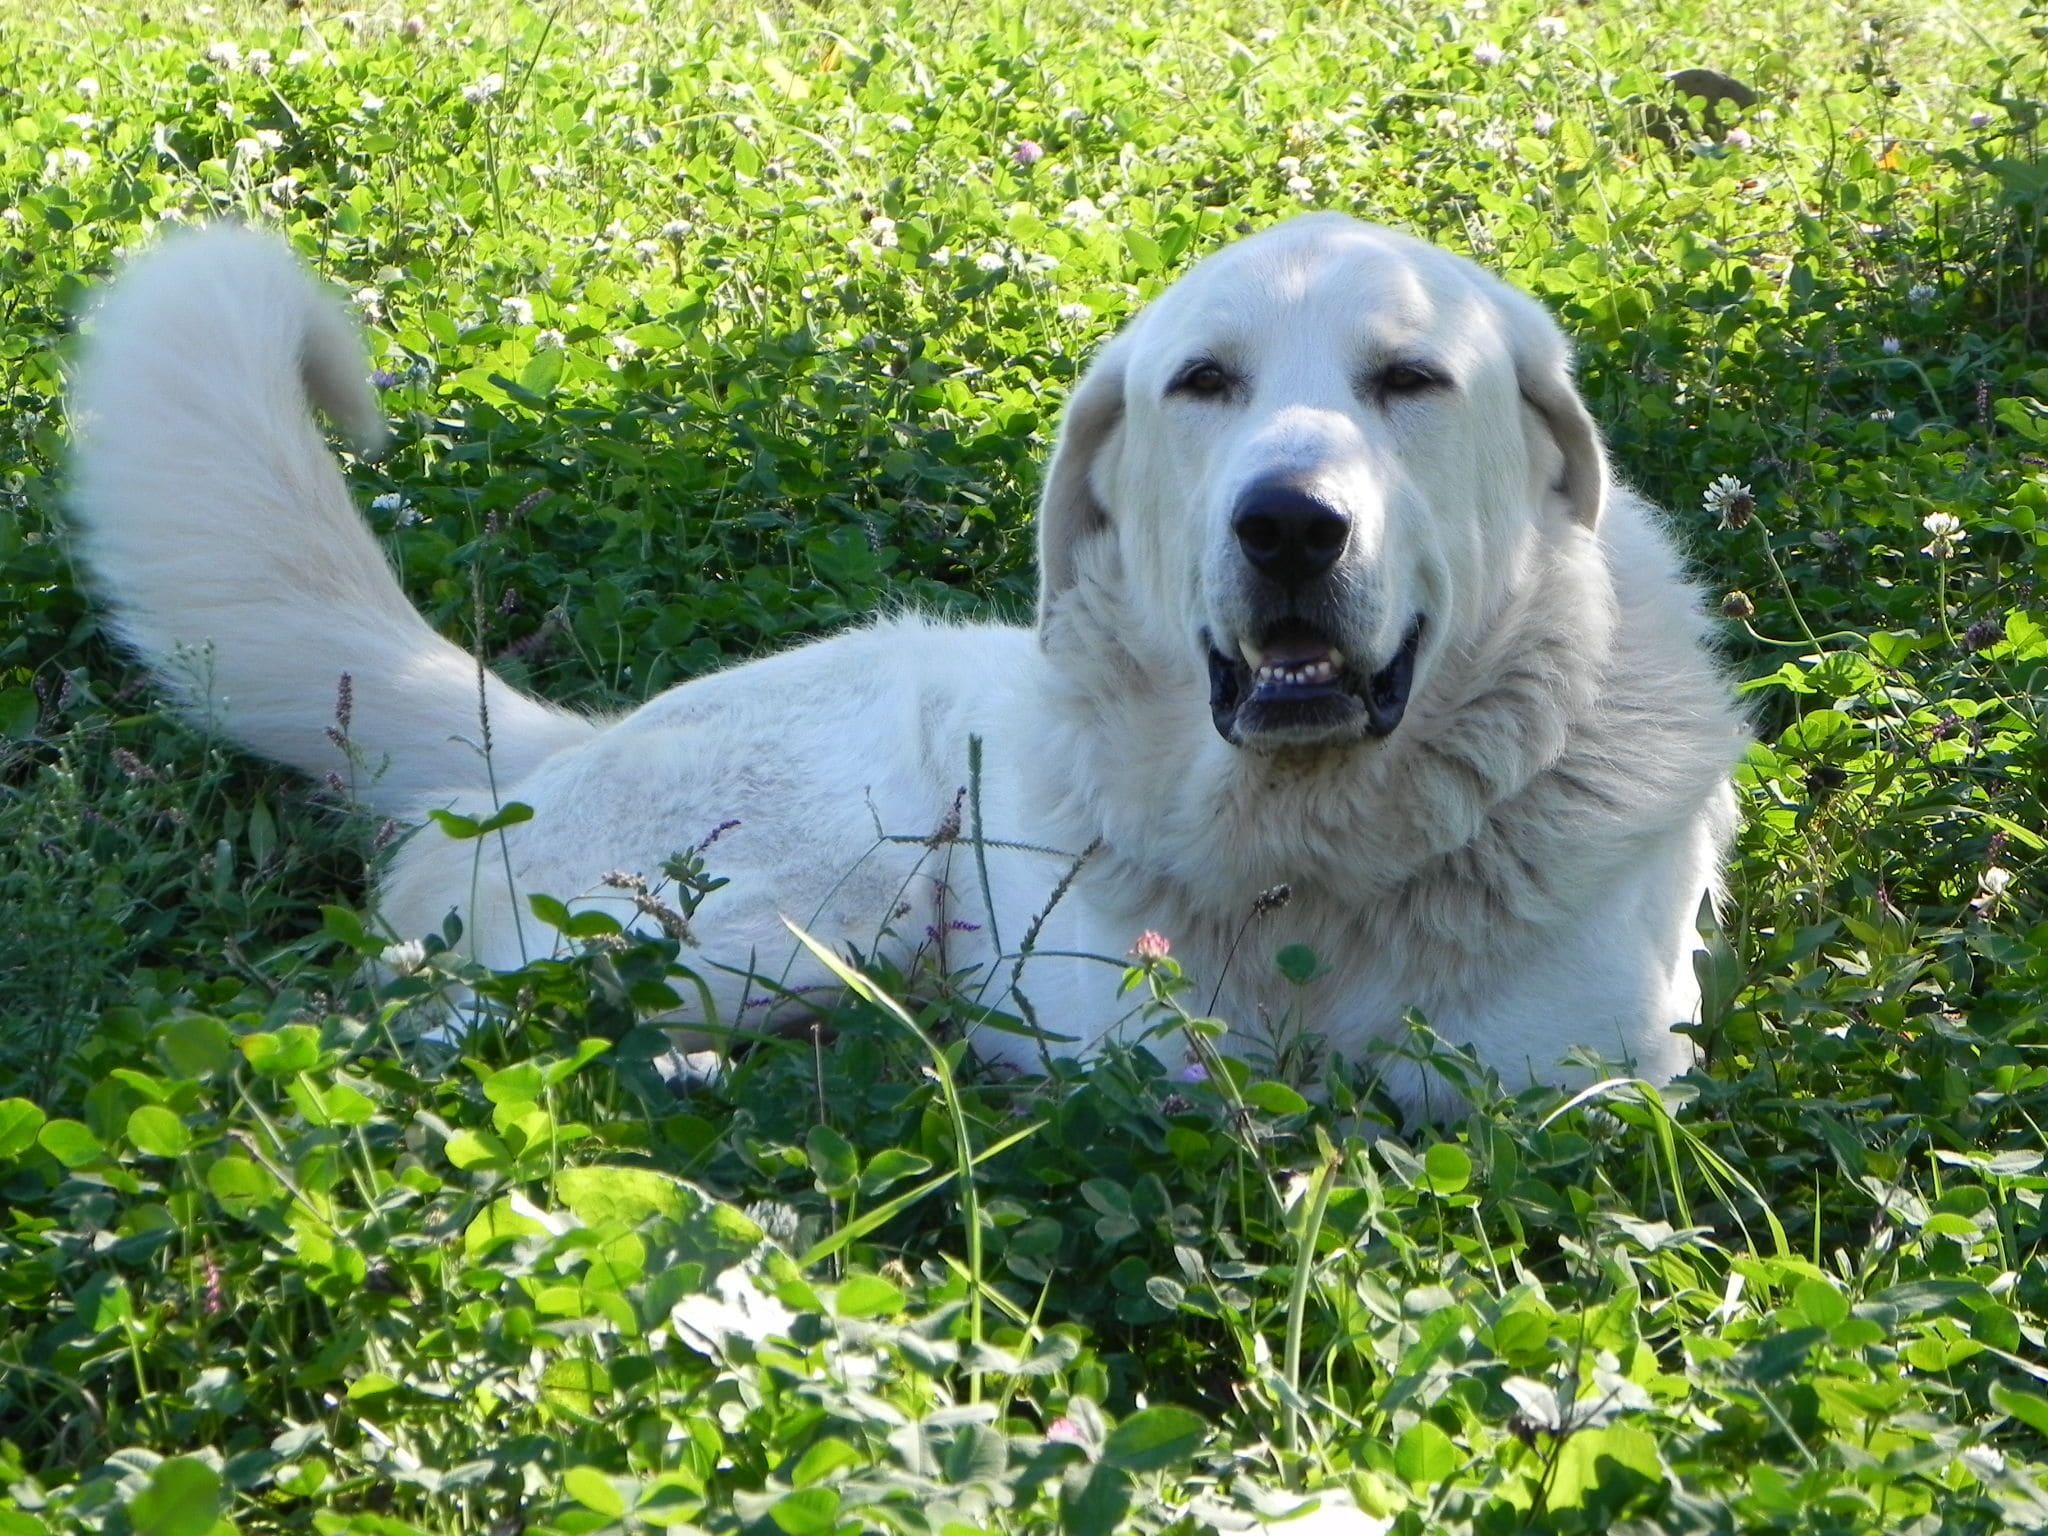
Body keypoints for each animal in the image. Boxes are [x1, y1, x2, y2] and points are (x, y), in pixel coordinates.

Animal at [67, 214, 1745, 1110]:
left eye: (1410, 382)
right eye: (1206, 383)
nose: (1287, 524)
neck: (1320, 851)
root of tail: (541, 745)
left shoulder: (1584, 1095)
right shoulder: (1125, 1061)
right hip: (805, 905)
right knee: (425, 1024)